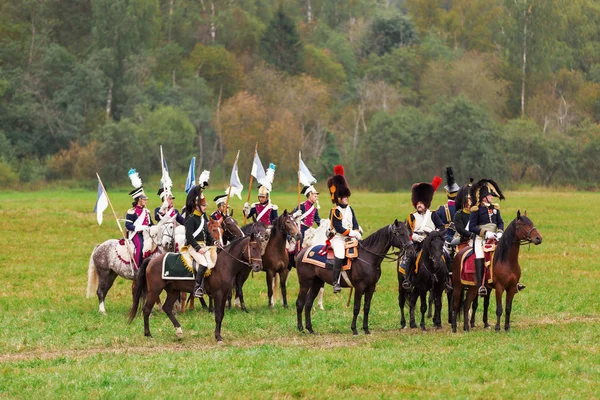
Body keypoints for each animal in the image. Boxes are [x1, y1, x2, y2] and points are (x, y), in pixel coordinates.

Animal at [129, 233, 262, 342]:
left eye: (261, 249)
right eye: (253, 248)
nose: (258, 267)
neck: (224, 264)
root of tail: (152, 260)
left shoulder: (224, 295)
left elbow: (222, 315)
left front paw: (219, 335)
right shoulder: (218, 294)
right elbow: (218, 315)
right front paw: (218, 337)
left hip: (173, 291)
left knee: (167, 308)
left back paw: (179, 331)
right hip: (154, 291)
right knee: (147, 310)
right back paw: (148, 334)